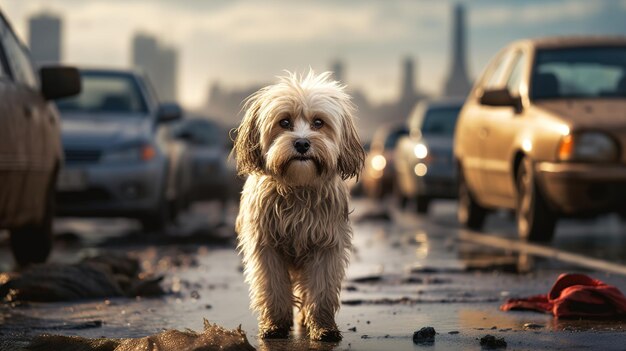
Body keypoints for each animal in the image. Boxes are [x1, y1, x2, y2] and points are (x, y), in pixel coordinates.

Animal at [232, 70, 364, 342]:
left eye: (318, 123)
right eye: (284, 122)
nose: (302, 143)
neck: (298, 187)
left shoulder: (325, 246)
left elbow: (321, 291)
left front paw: (323, 326)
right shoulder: (267, 247)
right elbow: (273, 288)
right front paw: (274, 325)